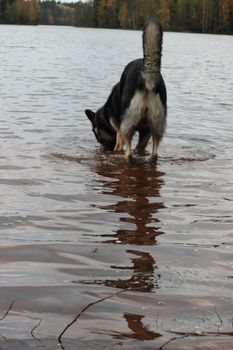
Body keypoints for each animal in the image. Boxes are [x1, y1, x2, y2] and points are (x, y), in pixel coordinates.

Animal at [84, 18, 167, 161]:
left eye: (96, 134)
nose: (102, 147)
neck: (106, 115)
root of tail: (146, 76)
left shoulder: (119, 132)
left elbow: (118, 146)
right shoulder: (145, 133)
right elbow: (140, 148)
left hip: (126, 127)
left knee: (127, 153)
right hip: (157, 127)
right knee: (154, 154)